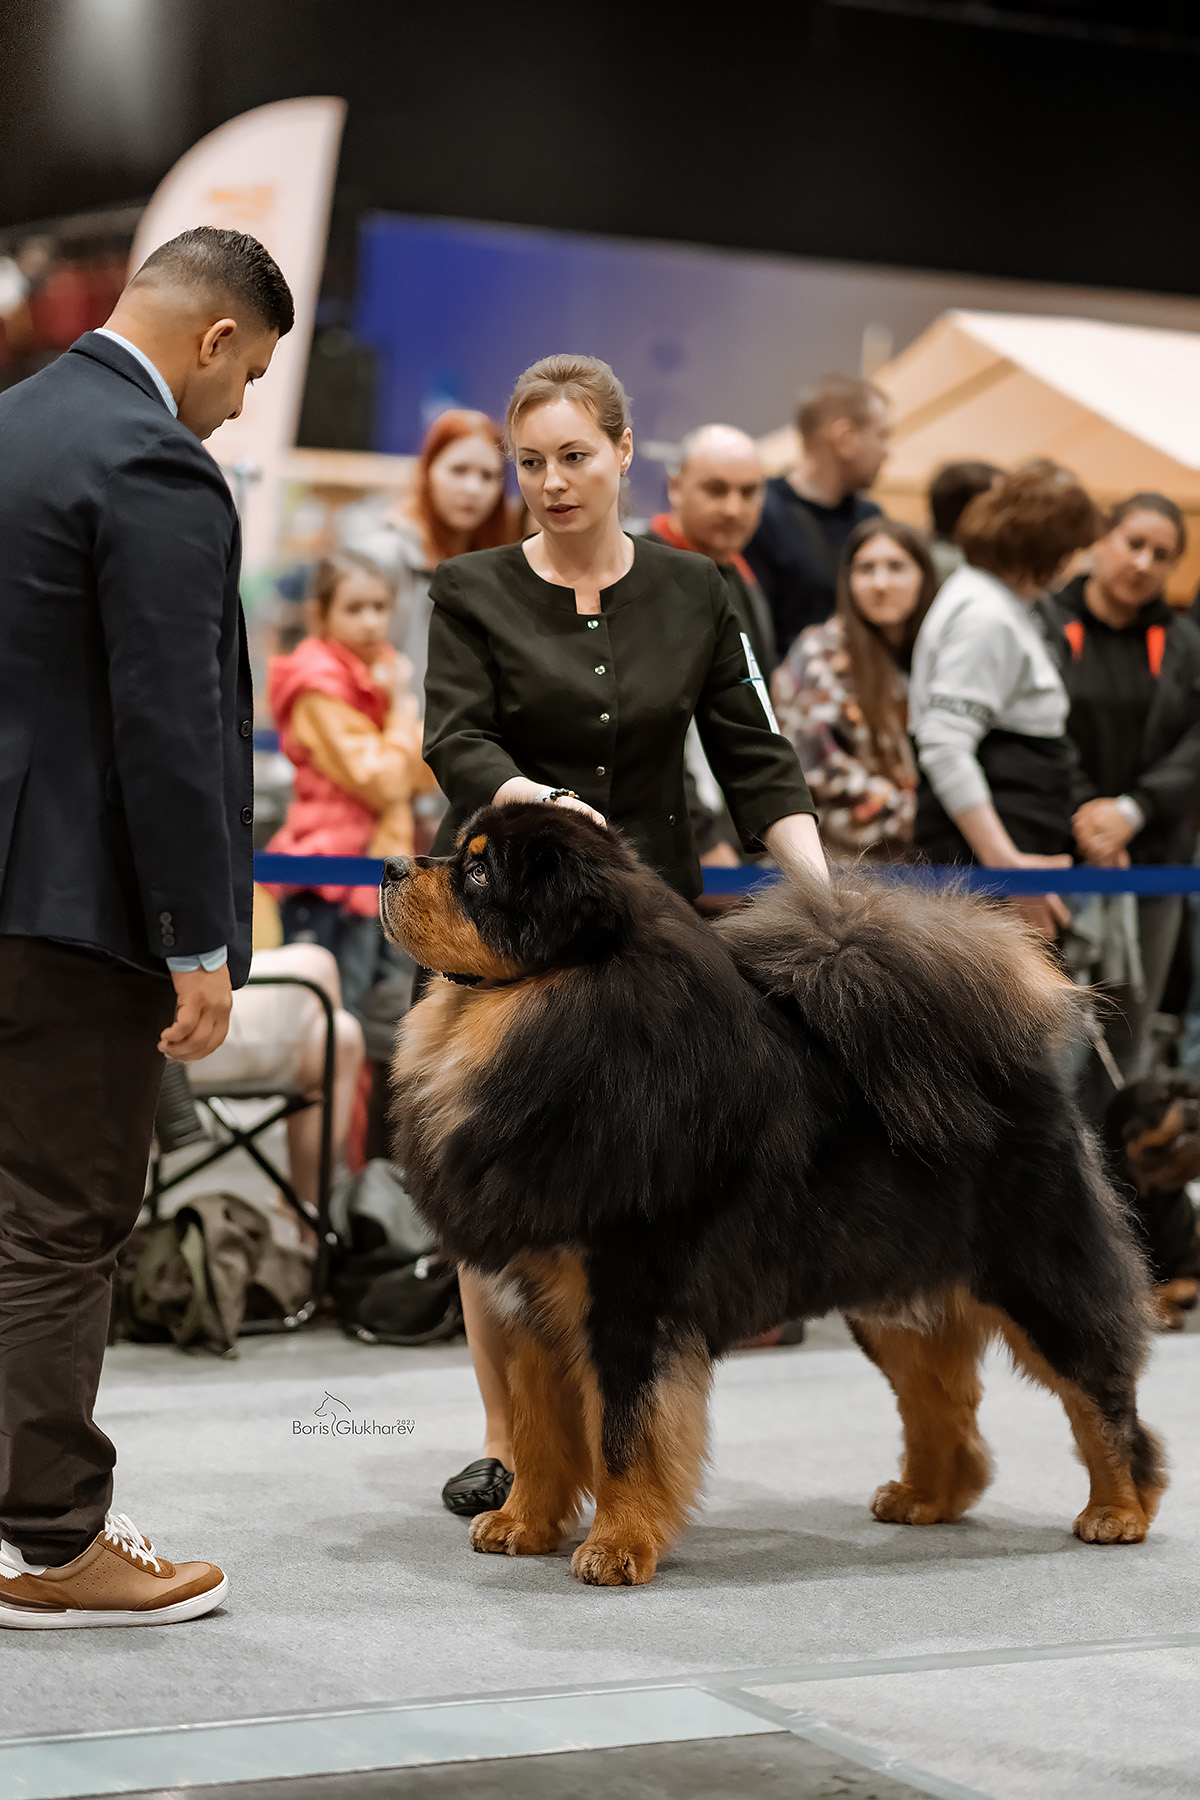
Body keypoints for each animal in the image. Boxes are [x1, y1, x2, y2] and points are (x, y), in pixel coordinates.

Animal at [381, 803, 1164, 1587]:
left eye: (480, 873)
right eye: (461, 852)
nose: (390, 866)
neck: (556, 1031)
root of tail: (1021, 1074)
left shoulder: (631, 1303)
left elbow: (627, 1438)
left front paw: (615, 1547)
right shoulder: (532, 1304)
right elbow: (540, 1431)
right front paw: (521, 1524)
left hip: (1039, 1284)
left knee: (1102, 1399)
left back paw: (1118, 1511)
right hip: (892, 1304)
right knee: (942, 1407)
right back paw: (924, 1498)